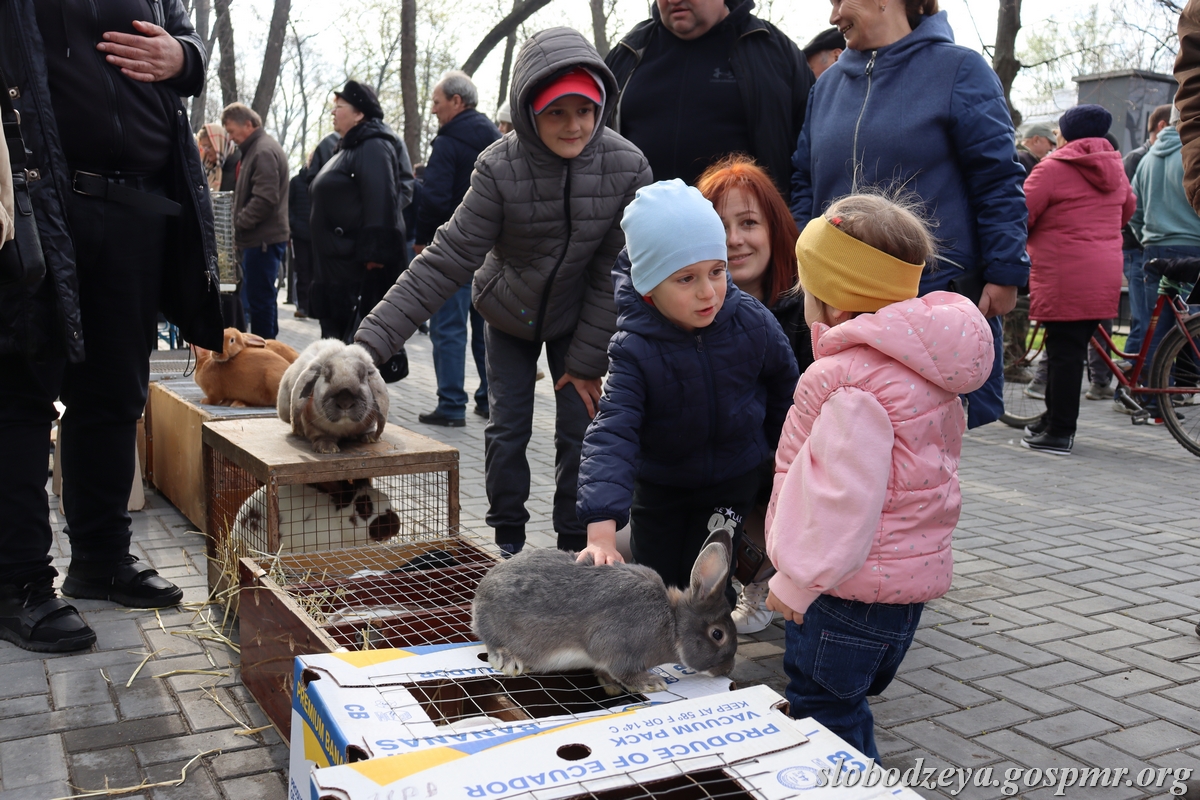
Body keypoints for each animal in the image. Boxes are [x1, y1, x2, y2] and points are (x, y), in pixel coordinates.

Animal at [470, 532, 739, 695]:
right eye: (718, 634)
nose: (727, 669)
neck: (672, 624)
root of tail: (480, 594)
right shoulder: (616, 648)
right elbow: (624, 671)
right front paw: (651, 683)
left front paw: (610, 686)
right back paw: (508, 660)